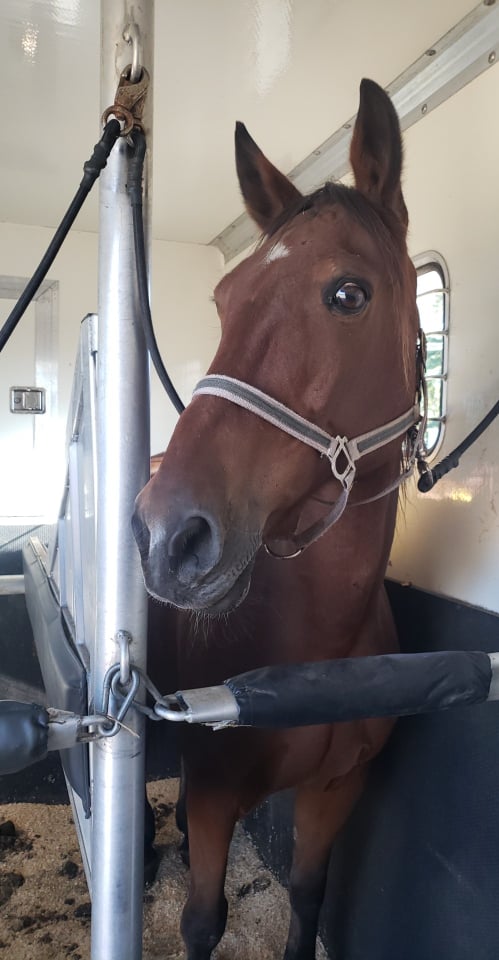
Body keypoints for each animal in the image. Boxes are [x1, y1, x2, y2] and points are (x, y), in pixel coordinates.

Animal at [133, 78, 422, 960]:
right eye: (225, 301)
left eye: (348, 293)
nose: (166, 538)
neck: (318, 638)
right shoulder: (218, 795)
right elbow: (202, 921)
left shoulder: (338, 788)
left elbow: (307, 892)